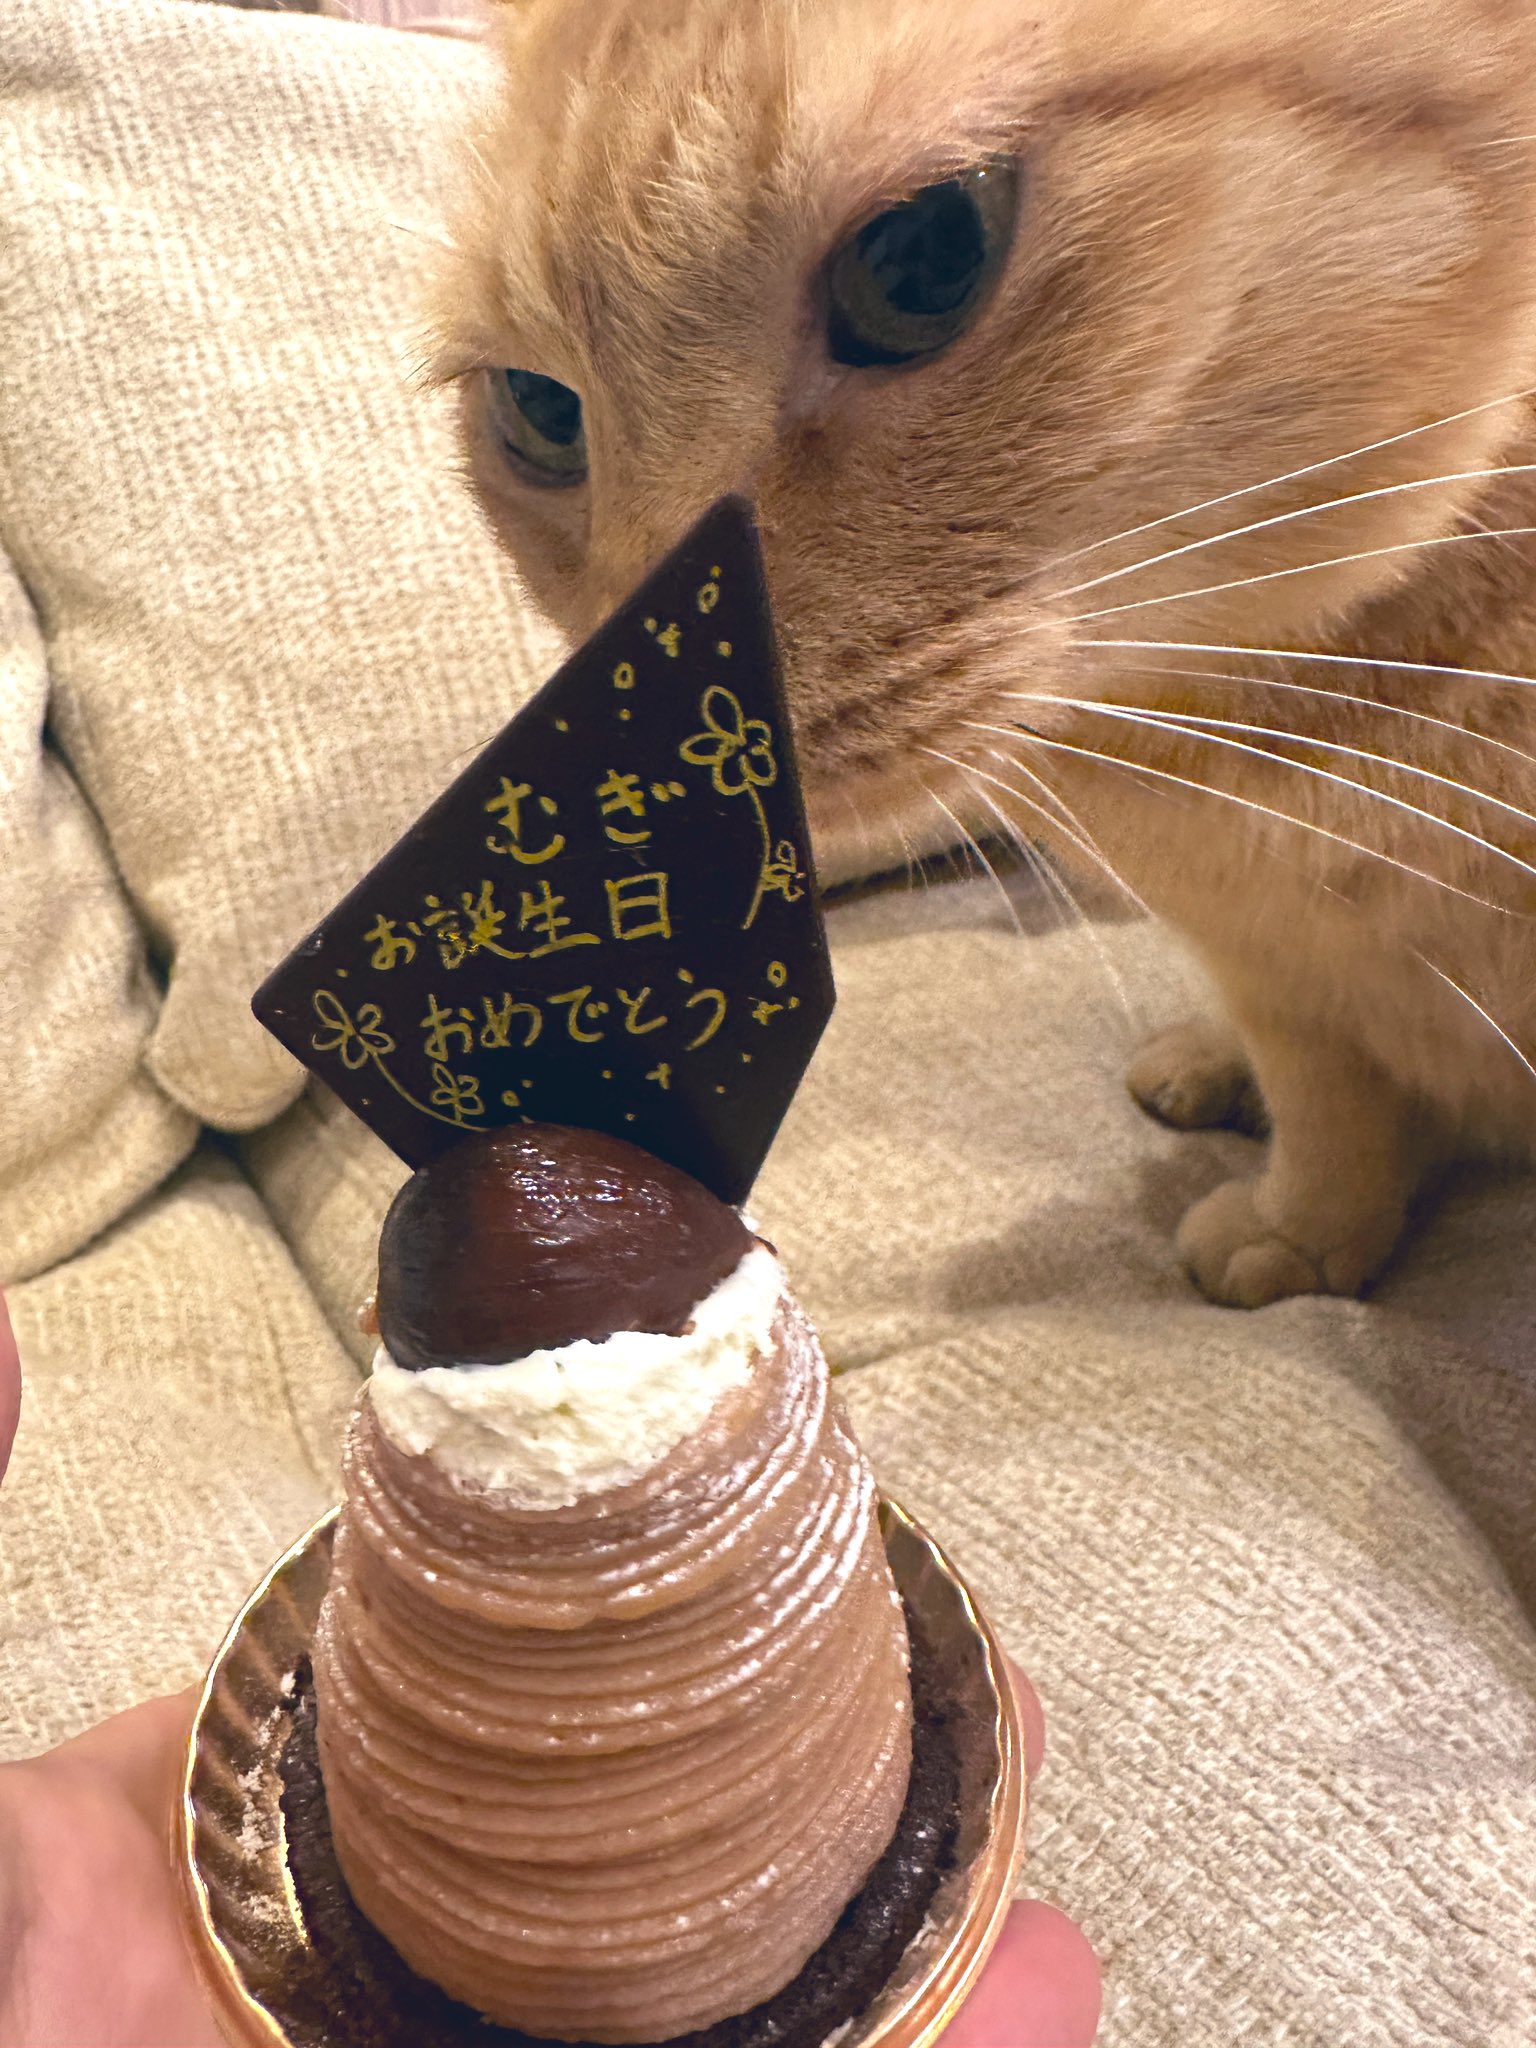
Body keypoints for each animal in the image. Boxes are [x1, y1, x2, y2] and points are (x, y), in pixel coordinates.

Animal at [429, 0, 1536, 1308]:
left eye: (924, 256)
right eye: (540, 412)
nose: (646, 708)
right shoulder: (1285, 980)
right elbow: (1331, 1111)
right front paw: (1308, 1229)